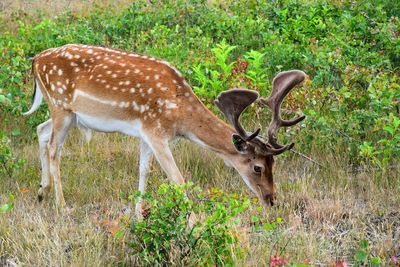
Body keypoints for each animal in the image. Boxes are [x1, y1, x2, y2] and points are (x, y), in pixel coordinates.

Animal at [23, 44, 306, 215]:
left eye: (273, 165)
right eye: (257, 167)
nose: (271, 199)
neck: (180, 117)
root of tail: (36, 60)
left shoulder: (145, 133)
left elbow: (144, 171)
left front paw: (137, 215)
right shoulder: (156, 131)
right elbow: (178, 180)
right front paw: (193, 225)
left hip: (67, 114)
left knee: (40, 129)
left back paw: (41, 191)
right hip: (60, 105)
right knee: (54, 148)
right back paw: (61, 205)